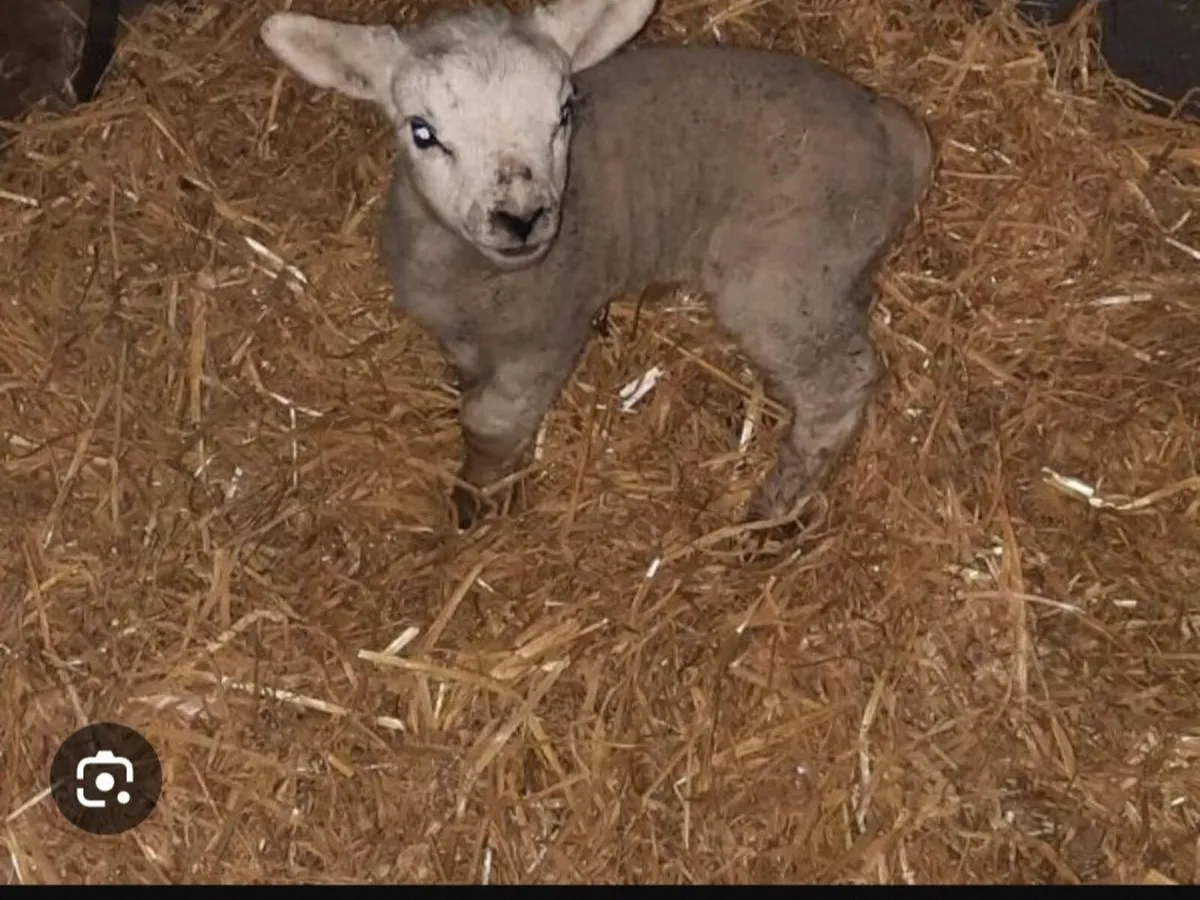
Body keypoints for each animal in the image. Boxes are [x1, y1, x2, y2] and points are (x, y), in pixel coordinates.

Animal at [259, 0, 934, 534]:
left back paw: (773, 510)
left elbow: (490, 422)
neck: (477, 279)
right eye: (422, 132)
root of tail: (895, 128)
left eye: (563, 113)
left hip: (783, 273)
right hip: (833, 268)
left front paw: (478, 497)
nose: (521, 218)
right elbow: (470, 387)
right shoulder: (465, 333)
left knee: (839, 384)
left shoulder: (549, 335)